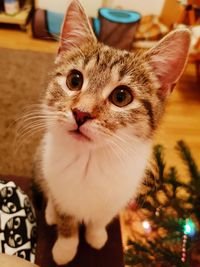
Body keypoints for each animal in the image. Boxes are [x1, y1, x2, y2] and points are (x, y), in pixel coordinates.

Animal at [34, 0, 191, 264]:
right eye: (74, 80)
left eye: (121, 96)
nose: (81, 113)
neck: (90, 160)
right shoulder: (59, 185)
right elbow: (66, 217)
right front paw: (65, 248)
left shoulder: (119, 194)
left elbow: (101, 217)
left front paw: (96, 236)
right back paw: (50, 212)